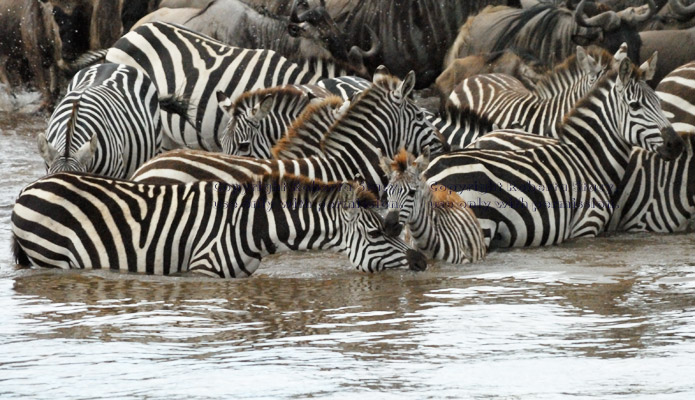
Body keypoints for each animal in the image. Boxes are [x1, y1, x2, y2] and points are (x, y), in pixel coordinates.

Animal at [12, 172, 430, 278]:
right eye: (376, 233)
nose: (422, 261)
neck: (250, 227)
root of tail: (28, 188)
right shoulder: (205, 271)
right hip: (51, 258)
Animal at [418, 55, 684, 250]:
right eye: (635, 106)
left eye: (659, 102)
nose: (677, 144)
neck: (590, 160)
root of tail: (430, 171)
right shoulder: (585, 227)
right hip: (475, 223)